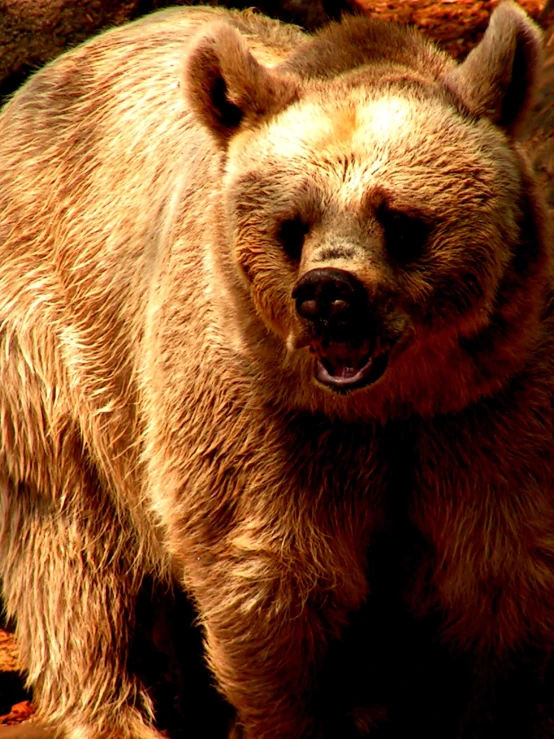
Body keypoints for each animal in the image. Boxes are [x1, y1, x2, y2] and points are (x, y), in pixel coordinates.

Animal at [0, 0, 548, 736]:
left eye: (401, 219)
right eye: (292, 224)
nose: (328, 294)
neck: (389, 403)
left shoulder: (487, 404)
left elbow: (493, 580)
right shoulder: (262, 414)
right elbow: (274, 581)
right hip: (58, 346)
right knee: (70, 544)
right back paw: (112, 709)